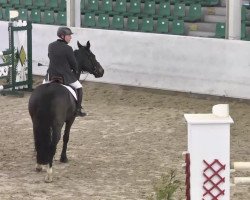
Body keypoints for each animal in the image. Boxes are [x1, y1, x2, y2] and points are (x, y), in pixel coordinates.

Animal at [28, 41, 103, 183]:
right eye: (92, 56)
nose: (101, 71)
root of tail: (48, 92)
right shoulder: (70, 119)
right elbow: (66, 137)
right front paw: (63, 158)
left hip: (36, 122)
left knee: (37, 140)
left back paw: (39, 165)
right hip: (57, 124)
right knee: (53, 143)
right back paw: (49, 174)